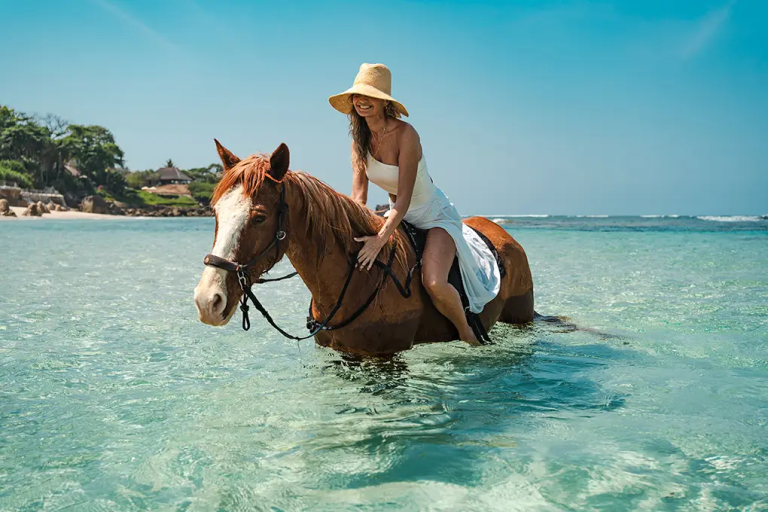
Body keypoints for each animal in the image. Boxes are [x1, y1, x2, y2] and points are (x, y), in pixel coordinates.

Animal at [194, 141, 535, 356]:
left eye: (260, 217)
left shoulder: (385, 358)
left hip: (522, 318)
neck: (356, 278)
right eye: (215, 212)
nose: (207, 301)